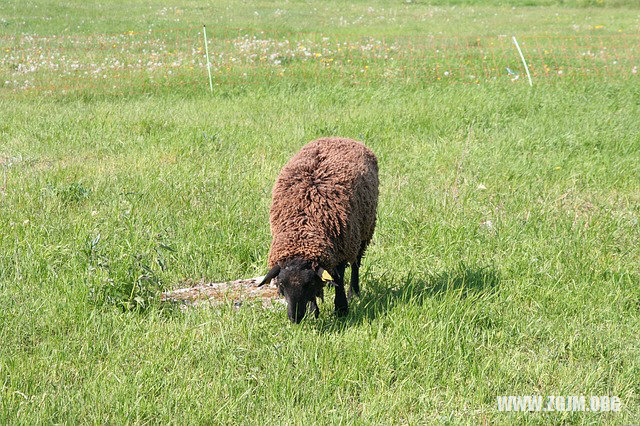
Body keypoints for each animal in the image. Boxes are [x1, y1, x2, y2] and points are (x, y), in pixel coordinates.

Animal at [258, 137, 378, 322]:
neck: (303, 228)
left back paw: (354, 292)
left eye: (308, 284)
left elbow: (338, 278)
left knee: (356, 263)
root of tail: (339, 137)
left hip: (363, 231)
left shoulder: (341, 249)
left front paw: (341, 308)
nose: (295, 318)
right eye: (281, 284)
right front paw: (314, 310)